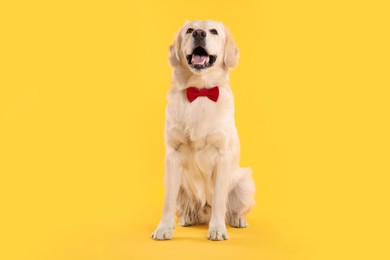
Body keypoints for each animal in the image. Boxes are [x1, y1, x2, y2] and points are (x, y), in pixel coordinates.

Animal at [151, 20, 254, 242]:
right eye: (190, 30)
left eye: (213, 31)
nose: (199, 33)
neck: (199, 91)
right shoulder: (173, 154)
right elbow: (168, 202)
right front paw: (164, 228)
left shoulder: (222, 156)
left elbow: (219, 200)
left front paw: (217, 229)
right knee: (190, 207)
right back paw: (187, 217)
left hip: (245, 182)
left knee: (232, 208)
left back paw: (237, 219)